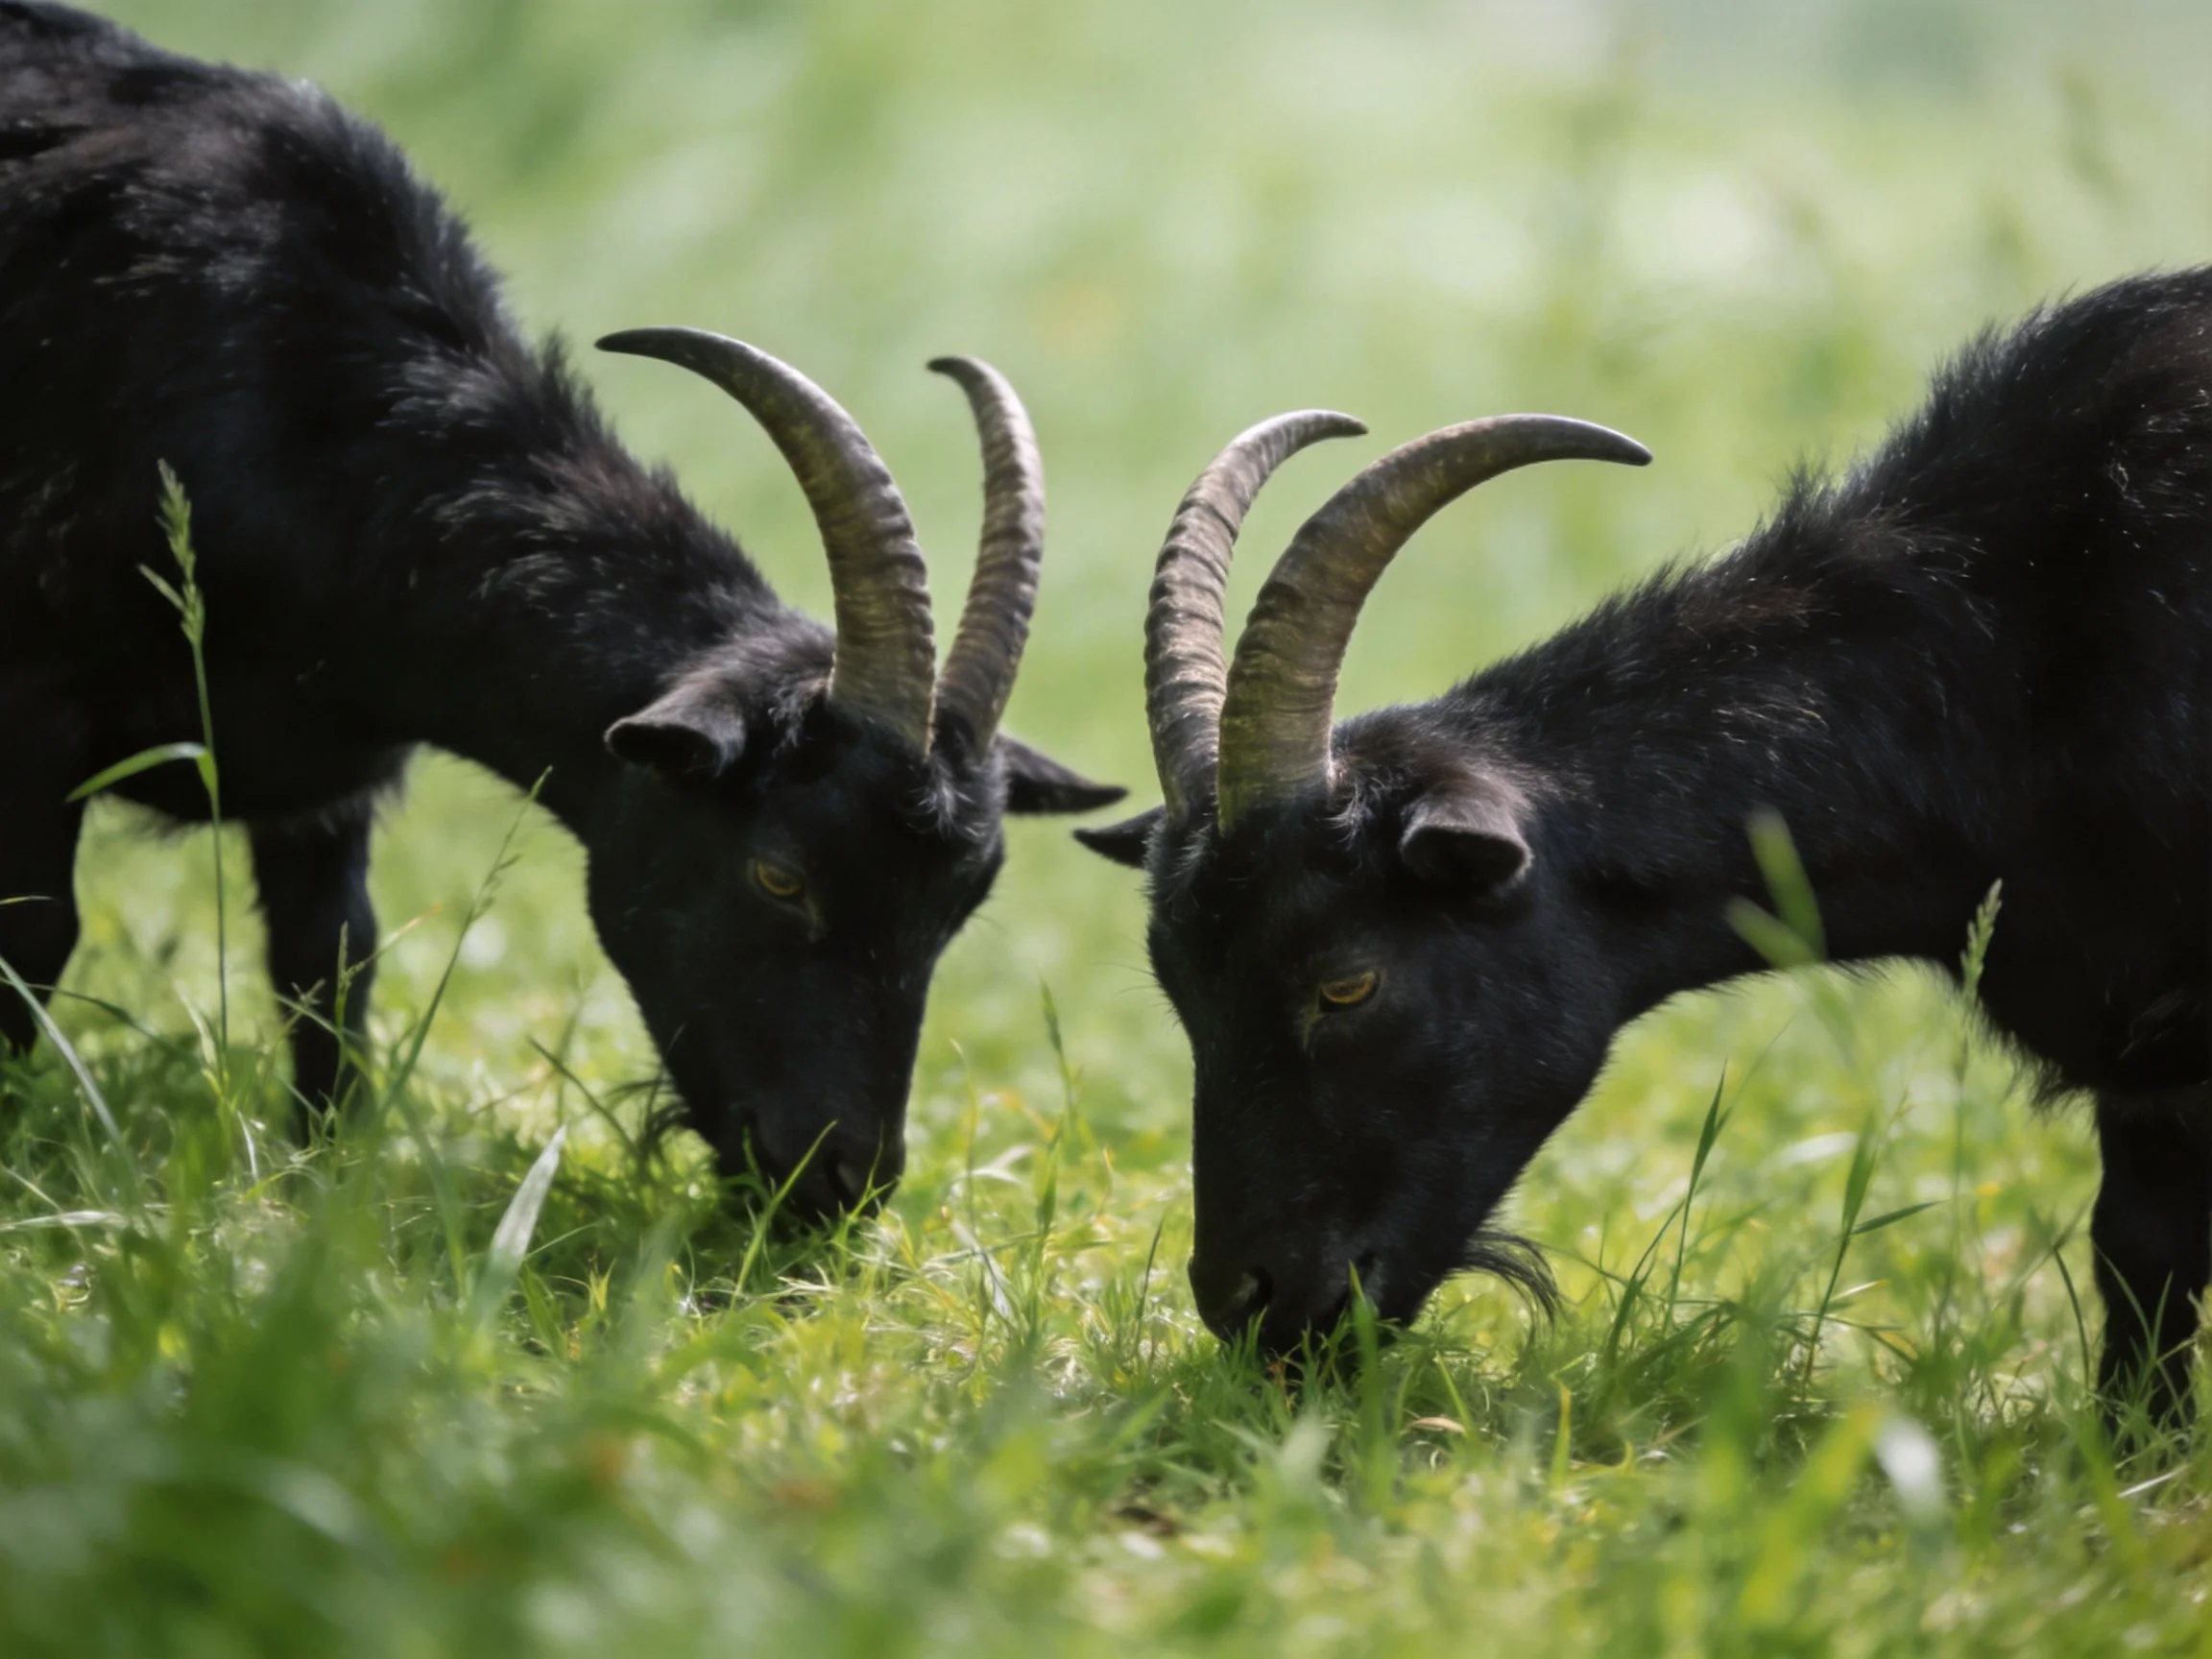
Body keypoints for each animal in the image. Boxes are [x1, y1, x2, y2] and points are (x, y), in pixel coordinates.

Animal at [0, 1, 1123, 1217]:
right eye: (777, 874)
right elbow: (37, 934)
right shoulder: (34, 707)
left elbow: (330, 966)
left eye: (958, 908)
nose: (836, 1183)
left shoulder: (328, 787)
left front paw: (322, 1182)